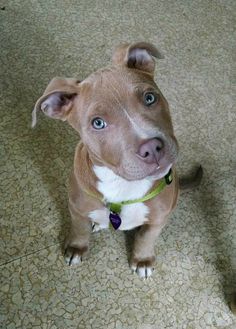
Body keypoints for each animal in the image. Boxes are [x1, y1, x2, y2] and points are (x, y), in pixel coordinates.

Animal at [31, 41, 201, 276]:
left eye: (149, 98)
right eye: (98, 123)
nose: (152, 148)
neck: (123, 184)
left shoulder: (158, 217)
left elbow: (146, 238)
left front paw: (143, 259)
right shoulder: (76, 207)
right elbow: (79, 229)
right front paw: (76, 247)